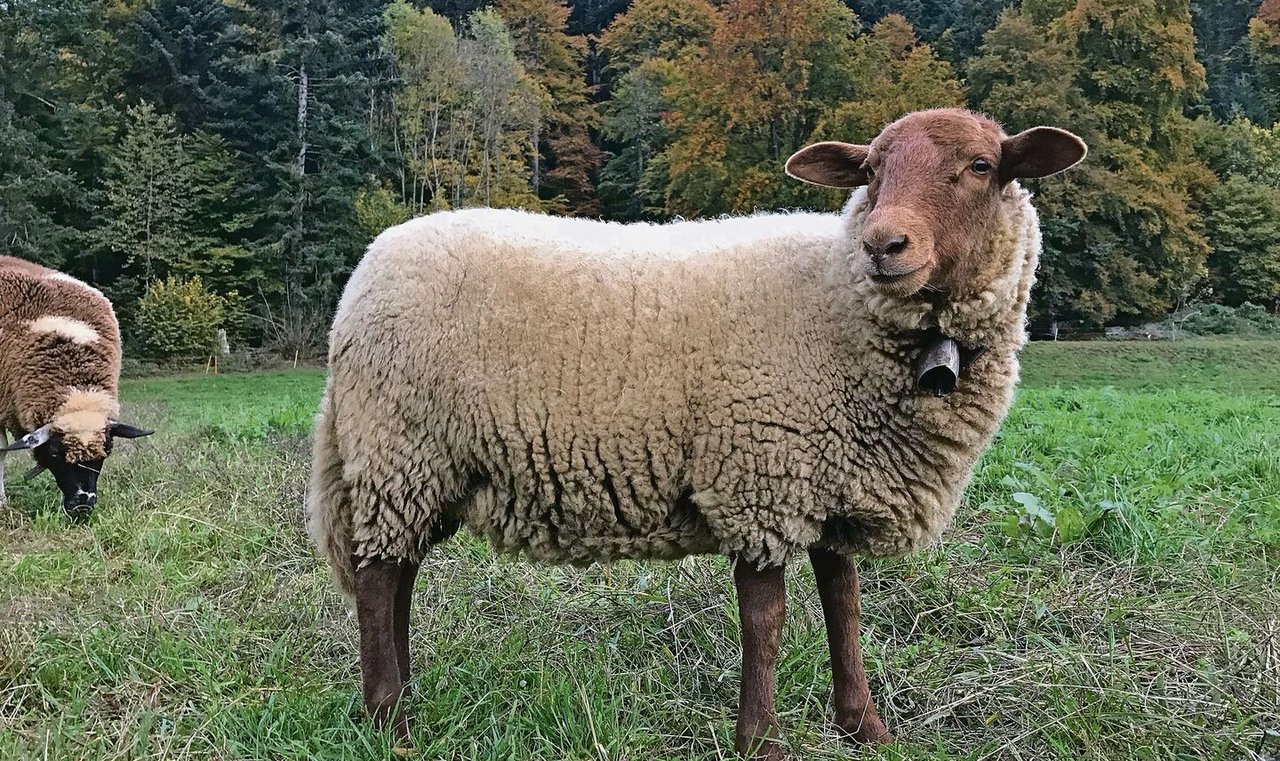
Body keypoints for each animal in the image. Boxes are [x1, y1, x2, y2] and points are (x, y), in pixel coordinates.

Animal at [304, 108, 1085, 761]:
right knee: (377, 580)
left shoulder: (830, 475)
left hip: (418, 463)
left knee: (397, 574)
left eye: (981, 165)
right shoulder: (761, 471)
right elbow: (765, 619)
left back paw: (404, 700)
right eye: (870, 170)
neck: (840, 302)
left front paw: (864, 727)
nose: (883, 244)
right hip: (400, 447)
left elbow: (844, 603)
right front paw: (761, 742)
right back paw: (390, 723)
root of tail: (365, 273)